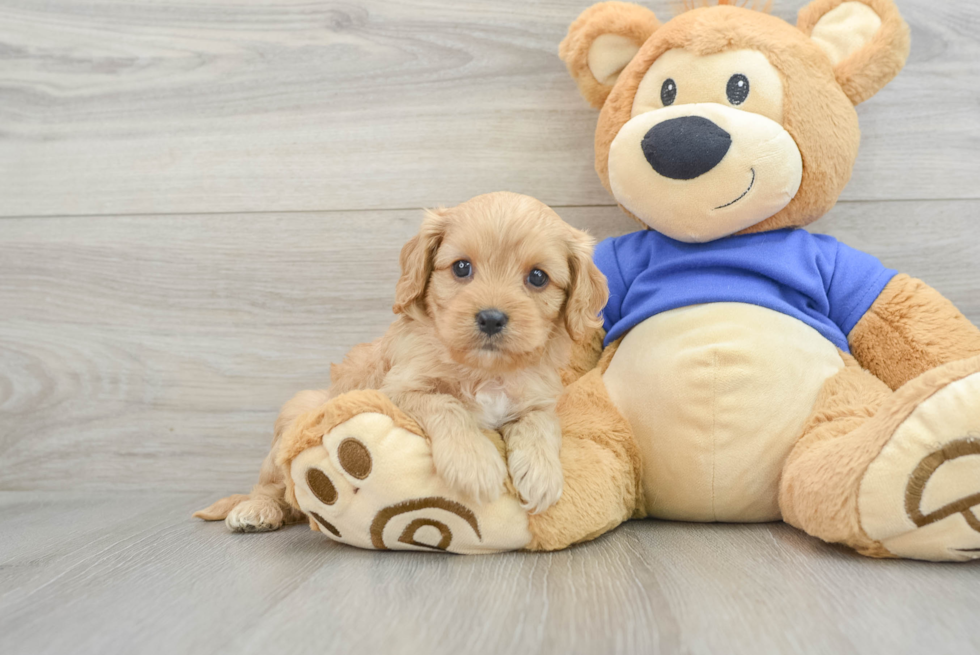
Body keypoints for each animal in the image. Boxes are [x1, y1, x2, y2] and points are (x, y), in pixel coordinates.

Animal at [195, 191, 608, 532]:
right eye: (461, 268)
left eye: (538, 277)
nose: (491, 318)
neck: (483, 369)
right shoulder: (399, 390)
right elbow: (446, 404)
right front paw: (474, 464)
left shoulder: (537, 398)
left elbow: (541, 424)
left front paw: (542, 475)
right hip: (297, 410)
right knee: (272, 486)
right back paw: (256, 510)